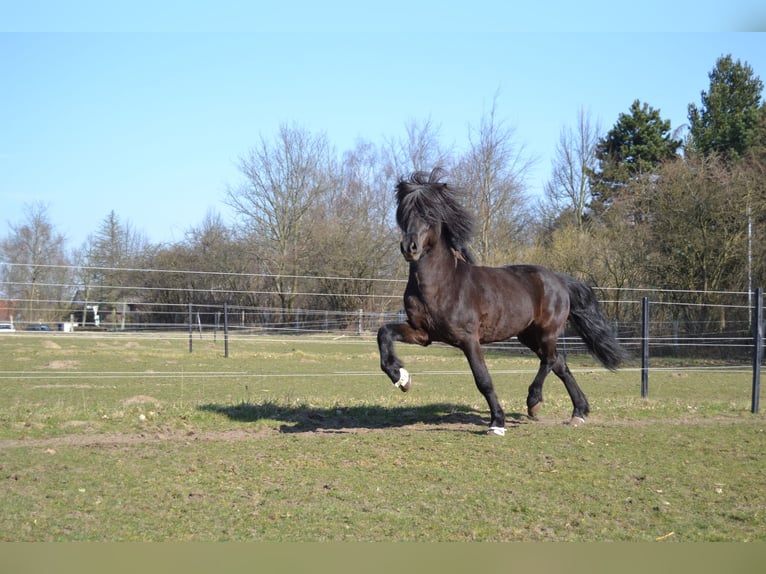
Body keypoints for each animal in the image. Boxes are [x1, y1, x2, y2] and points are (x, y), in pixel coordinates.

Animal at [376, 168, 628, 436]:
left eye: (429, 213)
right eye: (403, 212)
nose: (409, 248)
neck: (443, 284)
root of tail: (558, 279)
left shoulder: (468, 339)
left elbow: (483, 380)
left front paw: (497, 423)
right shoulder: (423, 333)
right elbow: (384, 333)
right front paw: (401, 378)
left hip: (547, 331)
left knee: (550, 361)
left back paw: (534, 402)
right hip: (527, 335)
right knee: (560, 364)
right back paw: (578, 413)